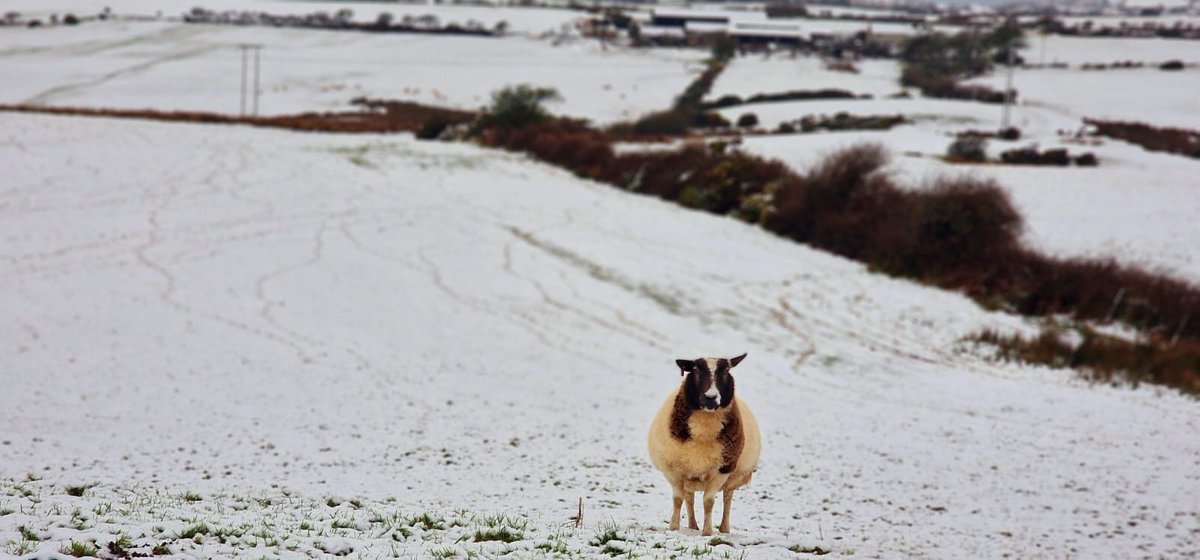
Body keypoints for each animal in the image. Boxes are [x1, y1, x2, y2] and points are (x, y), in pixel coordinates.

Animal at [647, 353, 761, 536]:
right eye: (695, 370)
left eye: (727, 371)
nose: (710, 398)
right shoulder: (673, 470)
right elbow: (678, 499)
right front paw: (673, 528)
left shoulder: (721, 470)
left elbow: (708, 502)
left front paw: (707, 532)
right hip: (689, 475)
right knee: (689, 498)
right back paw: (692, 525)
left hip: (732, 478)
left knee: (727, 499)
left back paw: (724, 529)